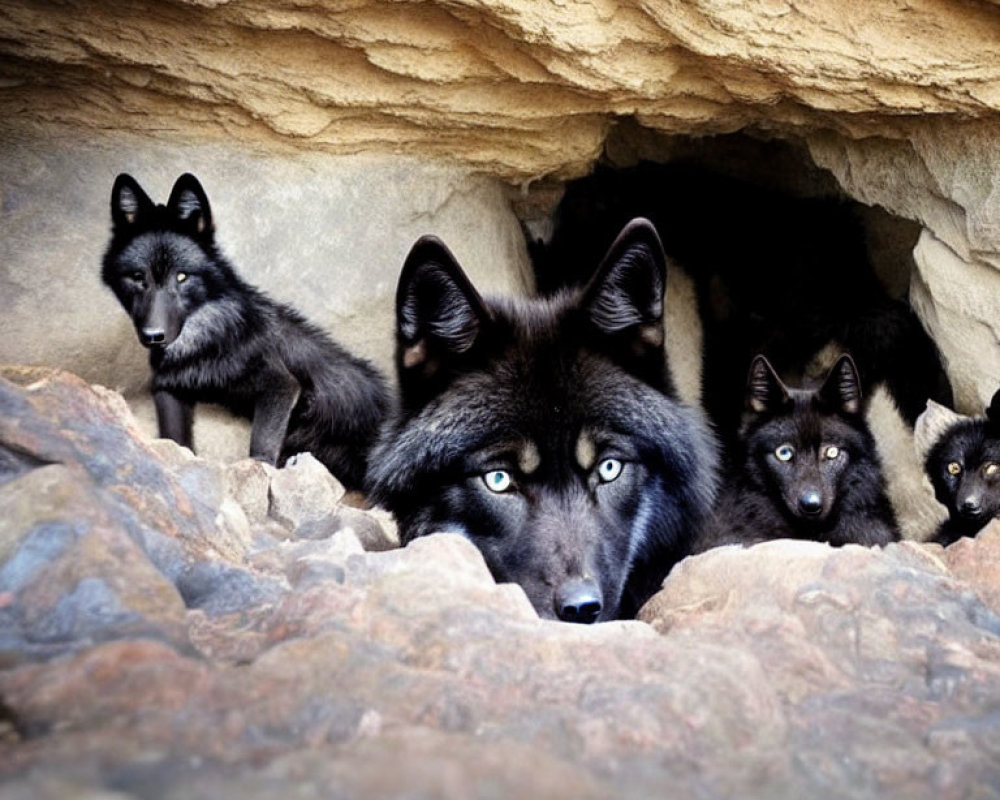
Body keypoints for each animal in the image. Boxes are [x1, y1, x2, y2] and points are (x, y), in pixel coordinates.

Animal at [101, 172, 388, 490]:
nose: (154, 336)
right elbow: (175, 440)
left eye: (182, 276)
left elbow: (261, 448)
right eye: (138, 278)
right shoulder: (167, 388)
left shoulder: (280, 384)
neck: (203, 343)